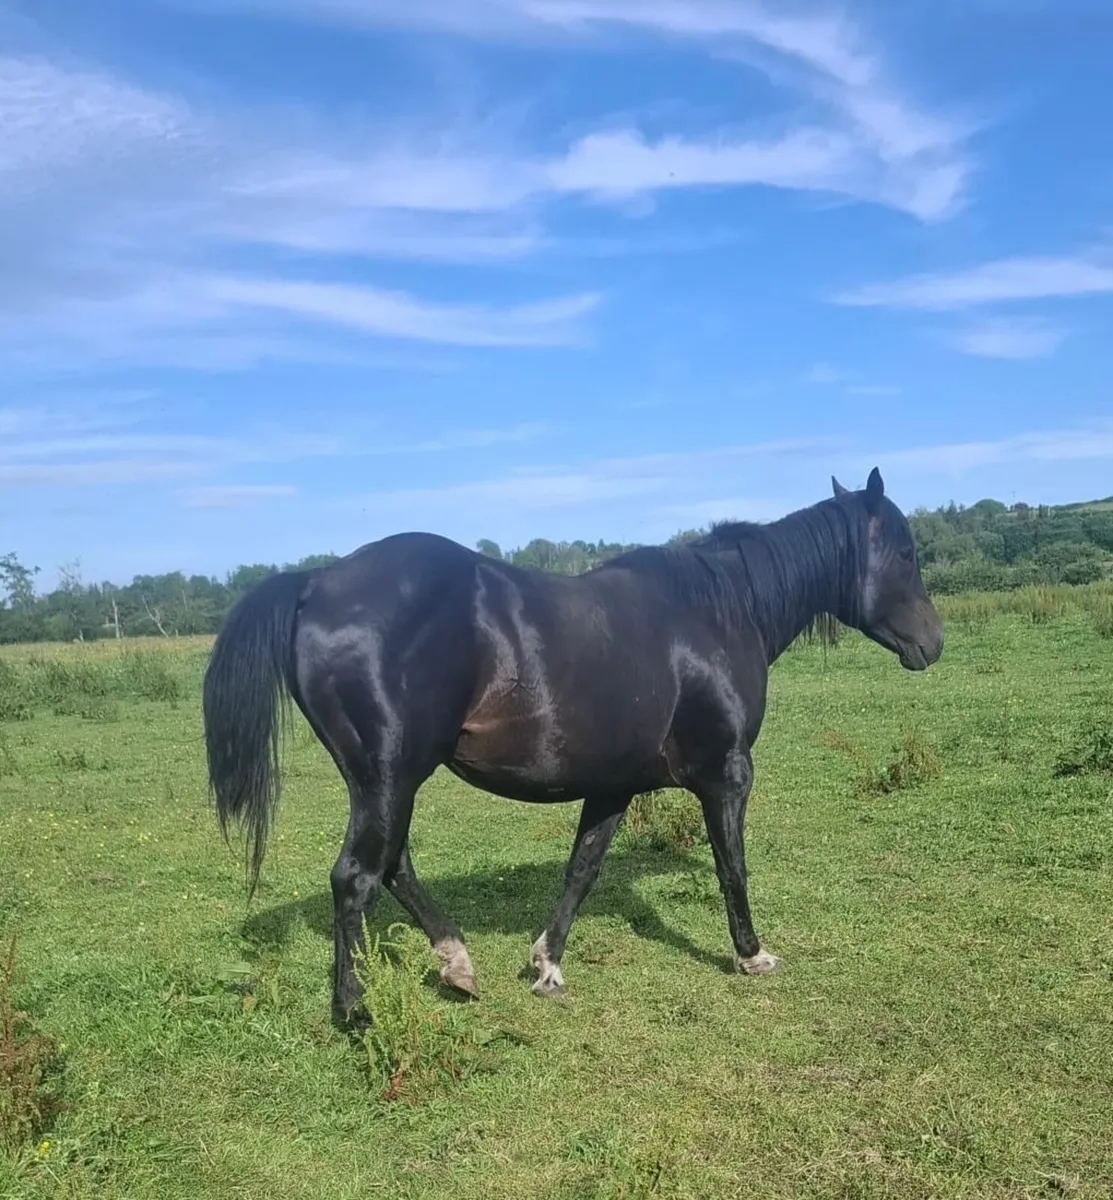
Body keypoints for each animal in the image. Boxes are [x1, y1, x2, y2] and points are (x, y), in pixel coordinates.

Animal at [202, 468, 943, 1026]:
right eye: (906, 554)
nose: (932, 644)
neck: (718, 610)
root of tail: (314, 583)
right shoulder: (727, 774)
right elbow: (732, 866)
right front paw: (750, 954)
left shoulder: (613, 784)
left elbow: (581, 868)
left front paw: (546, 963)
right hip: (388, 775)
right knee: (356, 878)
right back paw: (355, 1010)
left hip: (386, 780)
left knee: (393, 867)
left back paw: (456, 963)